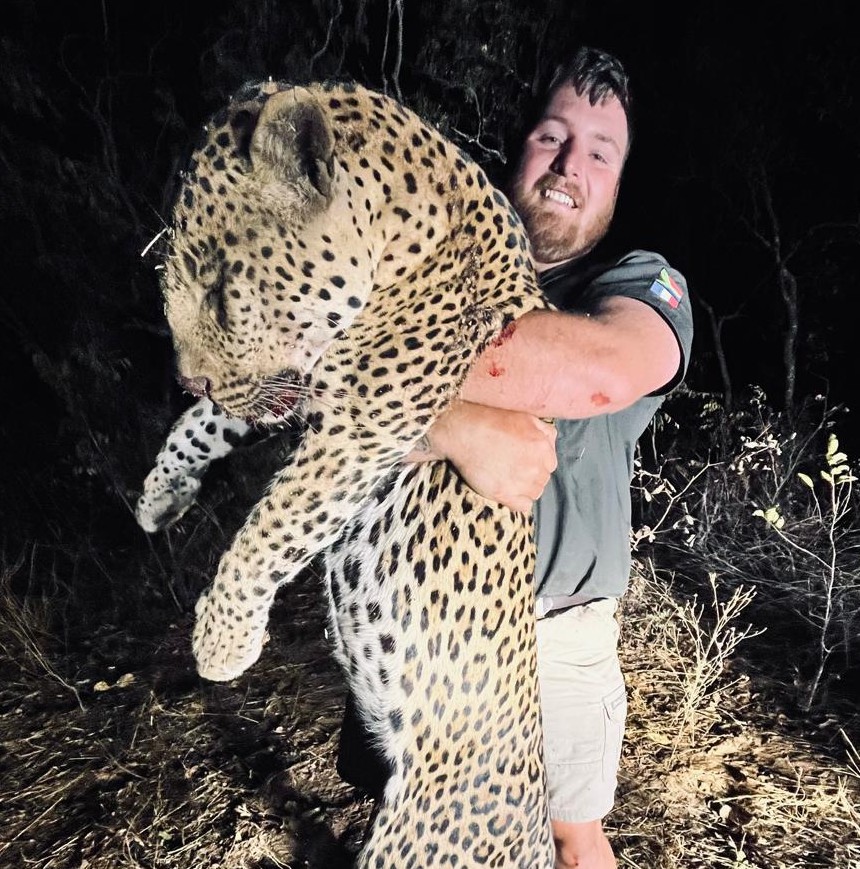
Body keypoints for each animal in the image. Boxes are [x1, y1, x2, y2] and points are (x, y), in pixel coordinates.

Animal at [144, 78, 556, 868]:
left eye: (221, 290)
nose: (184, 379)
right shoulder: (298, 390)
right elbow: (216, 422)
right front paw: (161, 493)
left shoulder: (364, 425)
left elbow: (276, 521)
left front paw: (221, 643)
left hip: (415, 844)